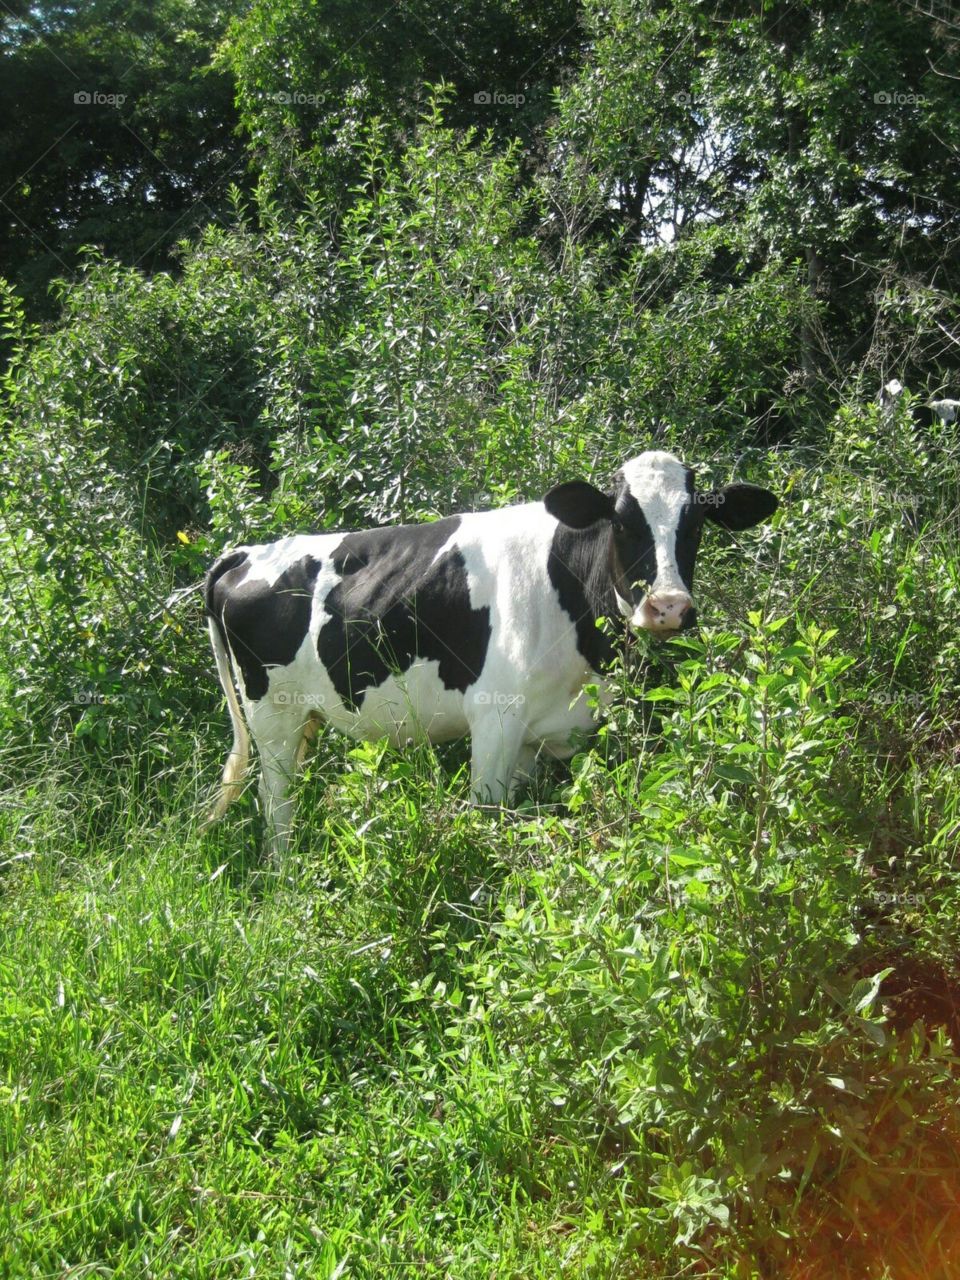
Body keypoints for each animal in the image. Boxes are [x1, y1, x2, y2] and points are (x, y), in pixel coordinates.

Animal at [204, 450, 778, 852]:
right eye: (620, 521)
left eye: (696, 524)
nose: (669, 607)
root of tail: (248, 551)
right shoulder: (495, 721)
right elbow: (487, 817)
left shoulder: (536, 736)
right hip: (271, 716)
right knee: (276, 801)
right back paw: (284, 877)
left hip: (305, 718)